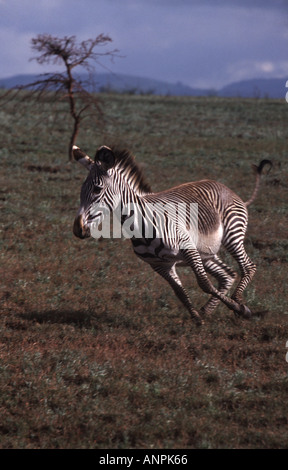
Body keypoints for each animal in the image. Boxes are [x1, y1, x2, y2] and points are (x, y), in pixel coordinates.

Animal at [72, 145, 270, 324]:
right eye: (81, 190)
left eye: (97, 189)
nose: (77, 229)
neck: (141, 224)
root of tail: (227, 189)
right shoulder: (160, 265)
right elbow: (180, 292)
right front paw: (197, 318)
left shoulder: (188, 249)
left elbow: (204, 284)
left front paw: (241, 310)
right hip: (206, 253)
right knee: (227, 275)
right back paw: (207, 311)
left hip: (231, 236)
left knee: (248, 267)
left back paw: (238, 302)